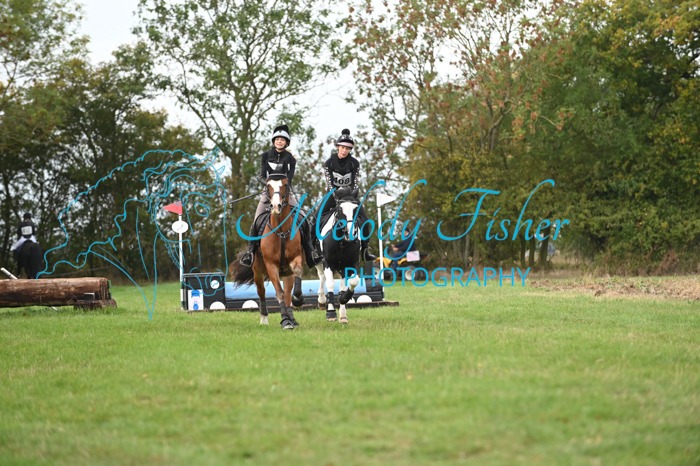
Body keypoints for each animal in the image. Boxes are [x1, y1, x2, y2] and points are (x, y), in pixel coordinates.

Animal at [229, 175, 305, 329]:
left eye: (285, 185)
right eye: (268, 186)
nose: (276, 207)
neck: (281, 231)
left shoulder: (295, 258)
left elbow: (297, 275)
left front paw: (298, 300)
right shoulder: (271, 265)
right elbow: (279, 293)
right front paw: (285, 321)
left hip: (287, 273)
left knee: (287, 293)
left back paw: (292, 318)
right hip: (257, 271)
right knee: (262, 291)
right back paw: (264, 318)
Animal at [315, 188, 363, 324]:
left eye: (356, 209)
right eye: (340, 209)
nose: (350, 233)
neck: (342, 241)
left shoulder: (352, 263)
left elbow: (353, 282)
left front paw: (343, 299)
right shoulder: (327, 262)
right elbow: (330, 284)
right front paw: (330, 312)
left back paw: (342, 314)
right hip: (319, 260)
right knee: (322, 277)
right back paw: (322, 301)